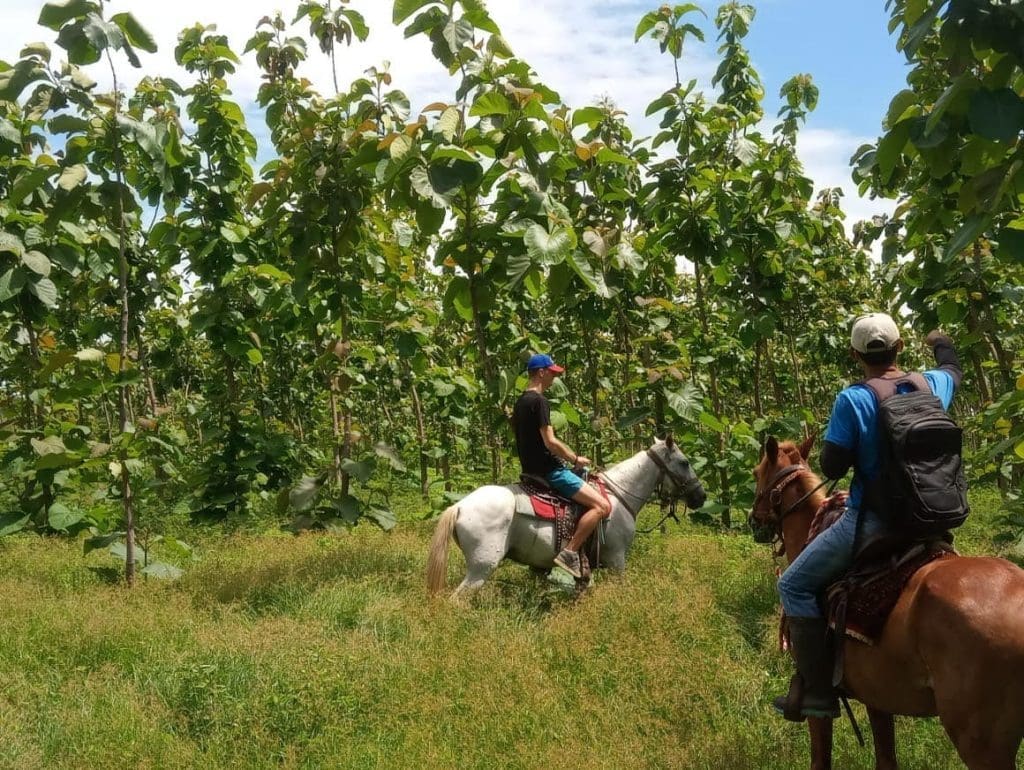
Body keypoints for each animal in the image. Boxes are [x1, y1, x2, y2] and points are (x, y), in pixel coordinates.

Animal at [423, 438, 704, 593]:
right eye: (685, 462)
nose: (701, 496)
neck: (618, 495)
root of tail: (459, 506)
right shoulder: (617, 560)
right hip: (482, 567)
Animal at [749, 436, 1024, 765]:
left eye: (755, 472)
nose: (753, 520)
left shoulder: (816, 701)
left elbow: (820, 758)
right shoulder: (877, 694)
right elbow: (886, 758)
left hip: (981, 744)